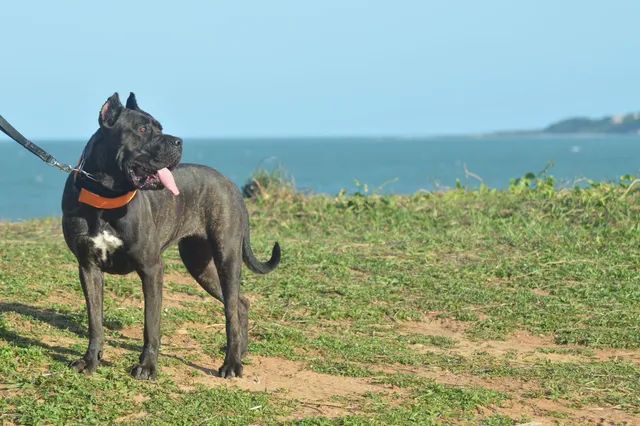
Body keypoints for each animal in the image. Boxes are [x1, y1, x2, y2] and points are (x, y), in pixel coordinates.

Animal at [62, 93, 280, 380]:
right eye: (142, 129)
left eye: (160, 127)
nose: (178, 141)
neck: (105, 198)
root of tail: (229, 183)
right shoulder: (88, 267)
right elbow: (95, 320)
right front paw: (90, 360)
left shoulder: (152, 268)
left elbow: (151, 324)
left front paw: (147, 366)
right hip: (200, 265)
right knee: (239, 304)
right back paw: (240, 353)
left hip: (227, 258)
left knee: (231, 309)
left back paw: (231, 363)